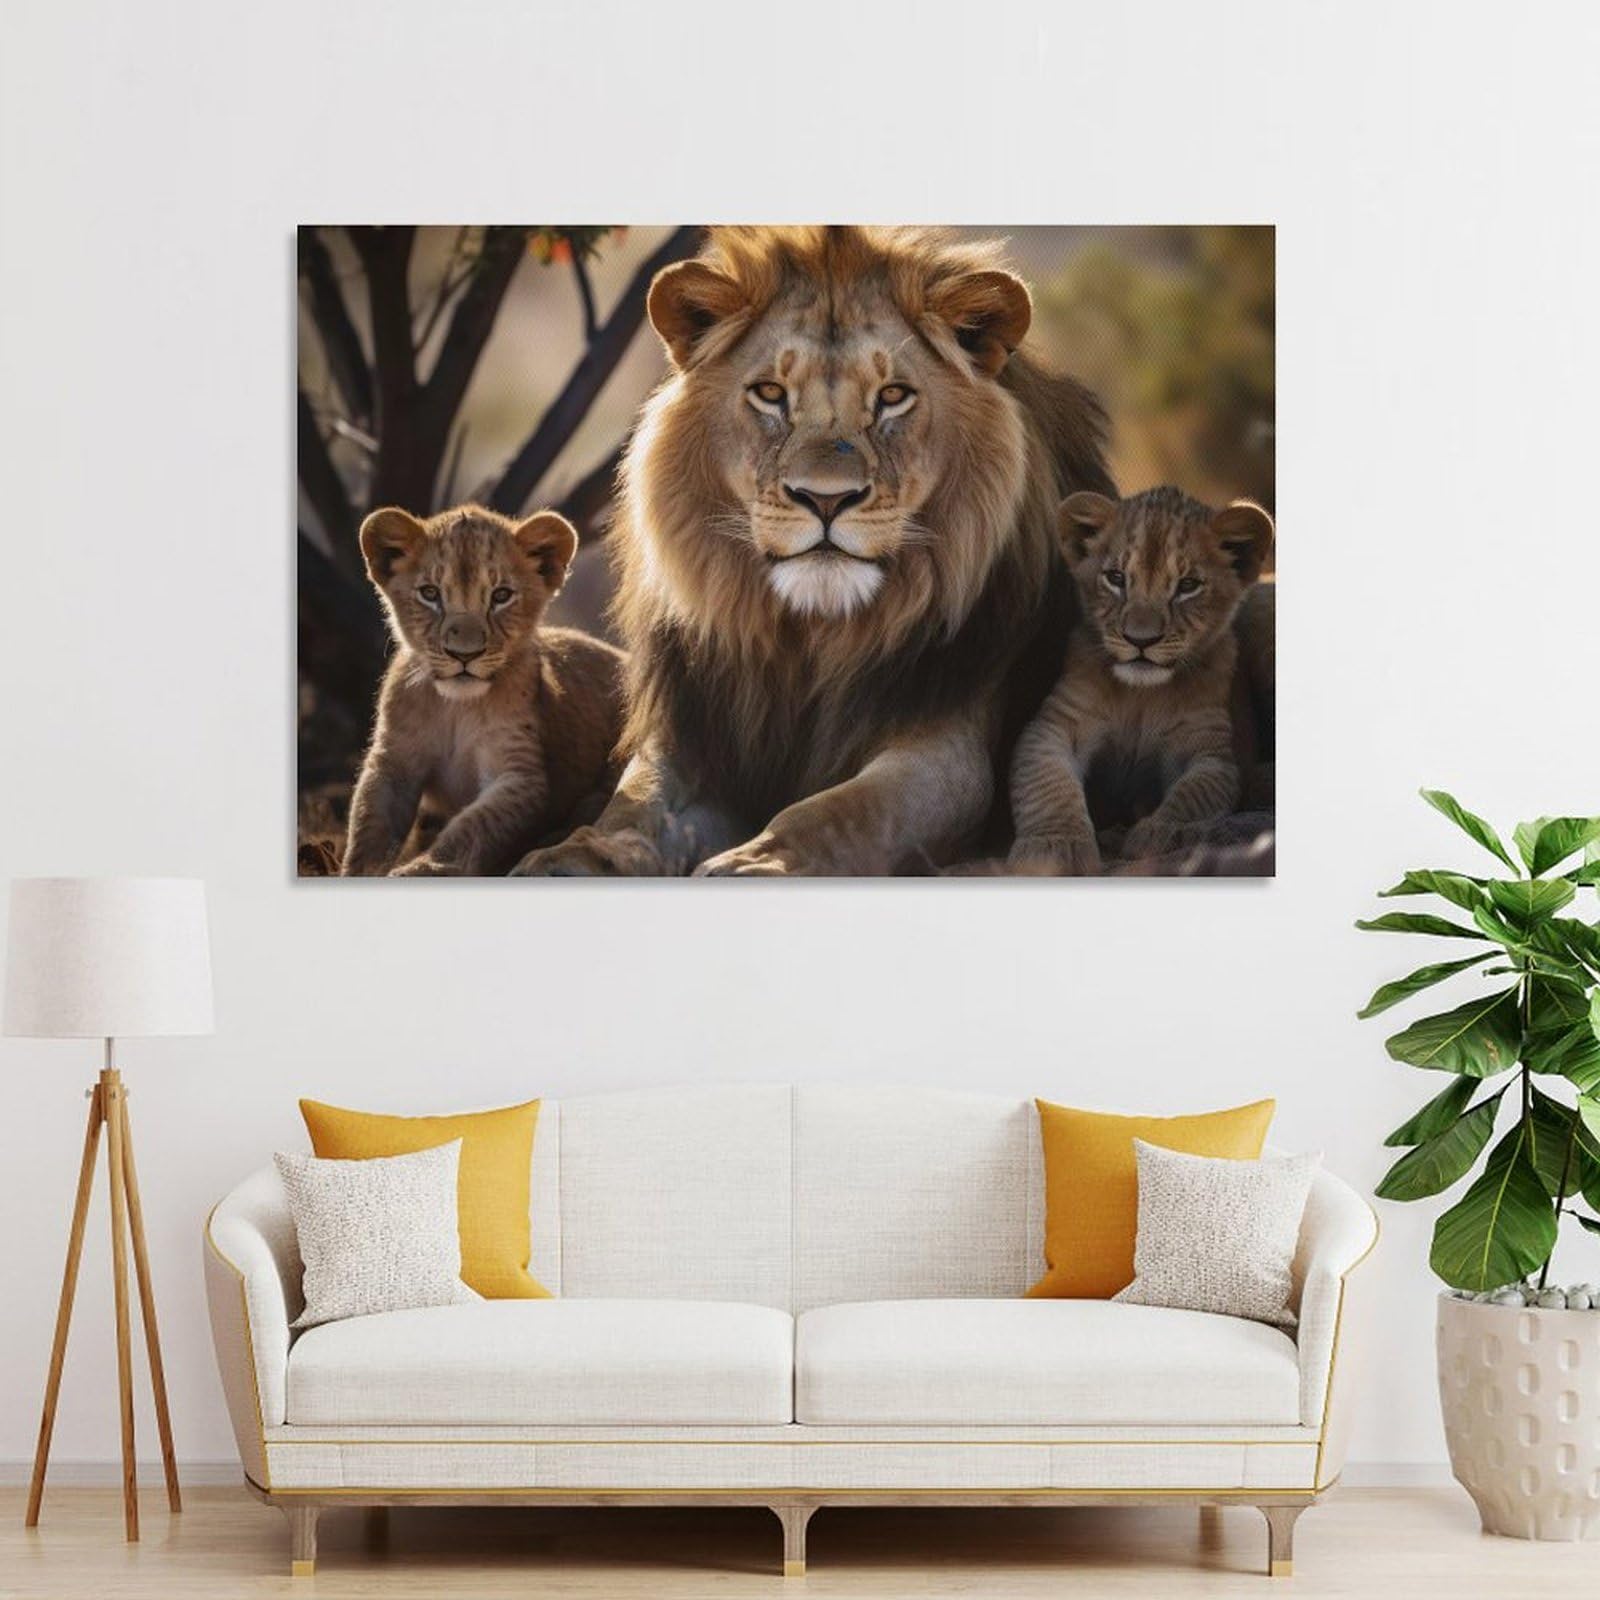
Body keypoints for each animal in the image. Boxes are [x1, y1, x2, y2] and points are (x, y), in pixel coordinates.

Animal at [343, 504, 626, 877]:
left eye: (501, 596)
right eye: (430, 594)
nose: (464, 654)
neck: (455, 707)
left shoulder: (520, 773)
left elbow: (471, 829)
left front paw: (415, 870)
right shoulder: (394, 760)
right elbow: (369, 825)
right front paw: (364, 871)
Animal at [513, 225, 1117, 877]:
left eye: (893, 395)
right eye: (770, 393)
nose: (826, 499)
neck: (812, 638)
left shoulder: (951, 752)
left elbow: (838, 810)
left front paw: (751, 865)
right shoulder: (698, 736)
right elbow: (633, 805)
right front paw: (572, 857)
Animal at [1009, 487, 1275, 875]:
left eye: (1188, 586)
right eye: (1116, 578)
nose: (1140, 640)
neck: (1140, 696)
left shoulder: (1210, 749)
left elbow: (1197, 793)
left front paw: (1164, 831)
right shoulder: (1055, 726)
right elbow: (1045, 783)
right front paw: (1054, 845)